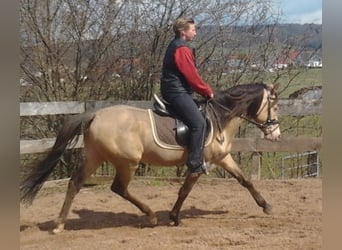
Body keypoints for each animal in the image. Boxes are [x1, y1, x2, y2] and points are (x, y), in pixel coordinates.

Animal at [19, 81, 280, 232]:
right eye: (275, 107)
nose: (276, 134)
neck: (219, 118)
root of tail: (94, 115)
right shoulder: (200, 164)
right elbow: (184, 190)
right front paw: (173, 217)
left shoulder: (223, 158)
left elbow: (245, 180)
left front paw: (266, 206)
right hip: (127, 162)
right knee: (118, 188)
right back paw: (152, 217)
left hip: (95, 157)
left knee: (76, 183)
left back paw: (59, 225)